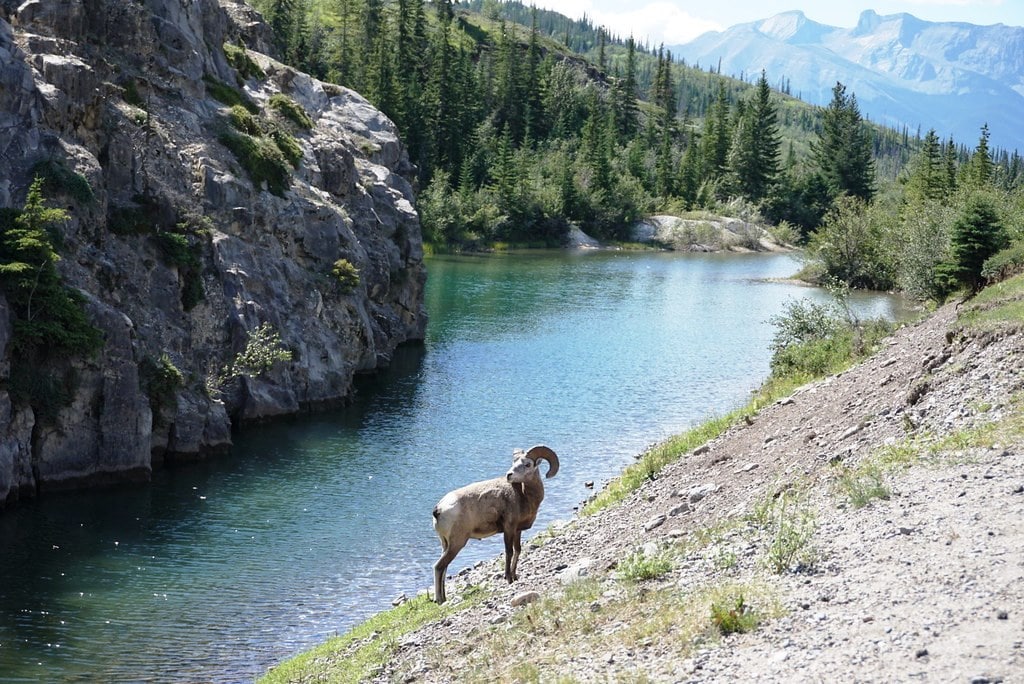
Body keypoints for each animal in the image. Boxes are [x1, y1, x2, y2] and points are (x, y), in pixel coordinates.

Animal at [432, 446, 561, 602]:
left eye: (527, 464)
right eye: (514, 462)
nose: (509, 475)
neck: (524, 496)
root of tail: (439, 509)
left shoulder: (517, 530)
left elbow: (517, 550)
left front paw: (515, 577)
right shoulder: (508, 528)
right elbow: (509, 552)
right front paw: (509, 579)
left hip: (445, 544)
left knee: (444, 568)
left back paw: (444, 598)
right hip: (457, 543)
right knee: (439, 567)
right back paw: (439, 600)